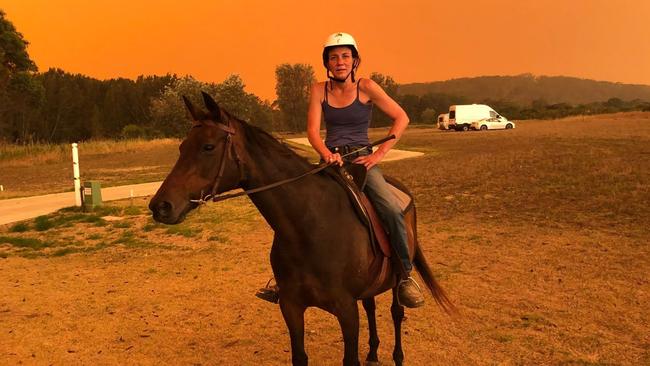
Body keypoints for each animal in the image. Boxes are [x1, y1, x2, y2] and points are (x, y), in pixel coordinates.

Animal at [148, 93, 450, 364]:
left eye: (208, 147)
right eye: (182, 147)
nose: (160, 206)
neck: (309, 224)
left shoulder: (346, 311)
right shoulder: (291, 307)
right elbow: (300, 356)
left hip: (398, 278)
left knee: (396, 314)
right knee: (371, 305)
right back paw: (374, 353)